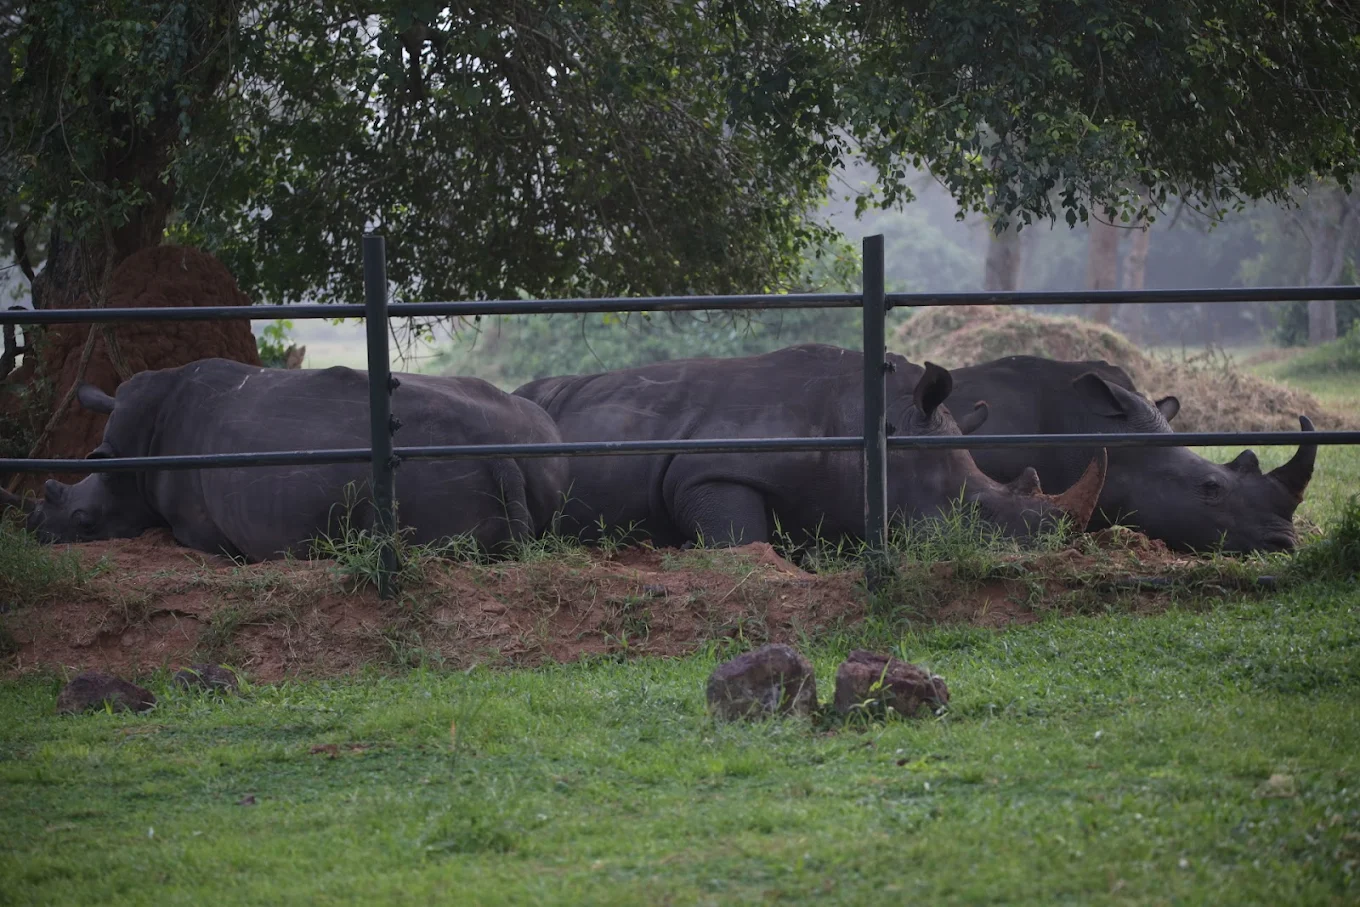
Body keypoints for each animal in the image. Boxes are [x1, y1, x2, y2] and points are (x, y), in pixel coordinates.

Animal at [0, 358, 568, 561]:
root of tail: (500, 457)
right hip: (536, 444)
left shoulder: (196, 527)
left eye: (83, 521)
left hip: (430, 473)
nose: (34, 527)